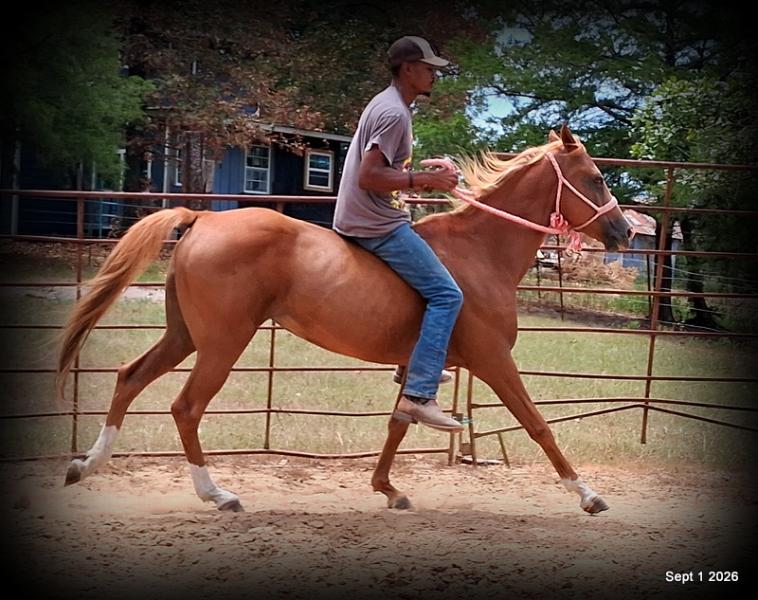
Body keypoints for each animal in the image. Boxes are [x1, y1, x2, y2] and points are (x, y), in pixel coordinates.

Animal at [56, 124, 631, 514]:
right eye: (596, 178)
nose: (624, 232)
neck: (480, 252)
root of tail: (201, 217)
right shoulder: (492, 360)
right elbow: (538, 425)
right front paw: (588, 494)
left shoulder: (420, 363)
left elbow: (400, 422)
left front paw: (388, 489)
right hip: (222, 341)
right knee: (186, 407)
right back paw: (217, 494)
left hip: (184, 335)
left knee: (130, 377)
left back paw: (86, 465)